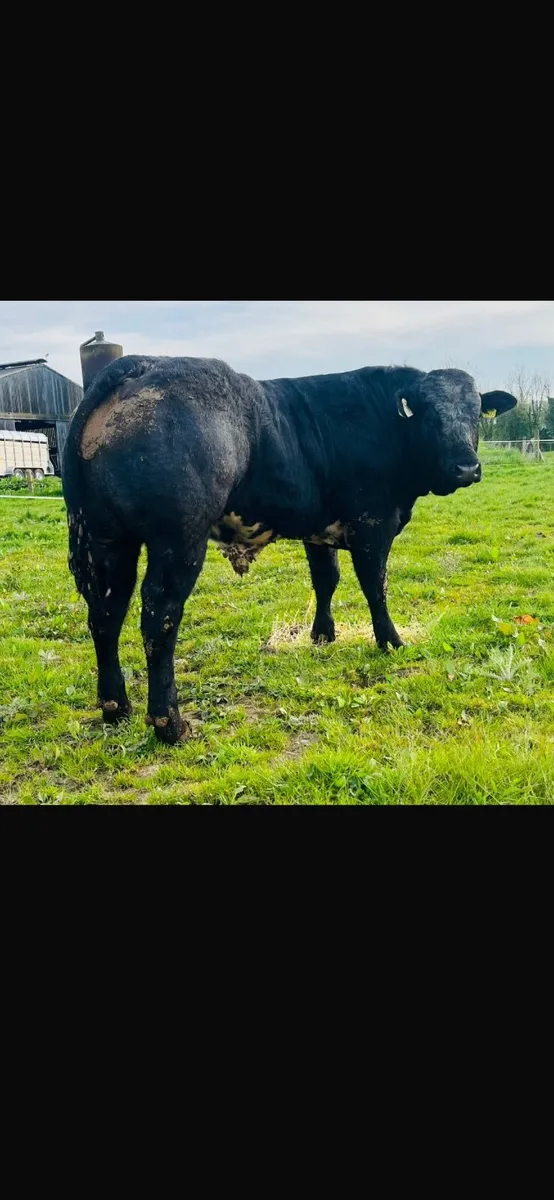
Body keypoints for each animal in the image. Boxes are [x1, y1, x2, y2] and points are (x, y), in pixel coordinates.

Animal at [62, 356, 517, 745]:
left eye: (475, 412)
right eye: (430, 414)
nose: (466, 467)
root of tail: (143, 364)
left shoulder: (318, 530)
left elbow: (326, 580)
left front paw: (323, 635)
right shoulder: (373, 524)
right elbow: (375, 586)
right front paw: (391, 641)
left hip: (108, 540)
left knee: (106, 615)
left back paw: (115, 707)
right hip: (178, 540)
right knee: (159, 617)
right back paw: (169, 724)